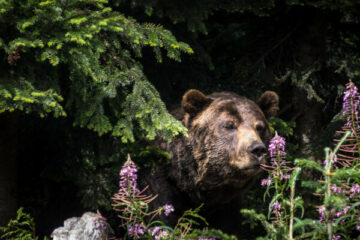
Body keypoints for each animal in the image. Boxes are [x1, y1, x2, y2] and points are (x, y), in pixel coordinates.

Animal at [141, 89, 278, 236]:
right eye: (230, 125)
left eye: (259, 127)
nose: (257, 149)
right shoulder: (161, 187)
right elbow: (161, 219)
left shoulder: (228, 205)